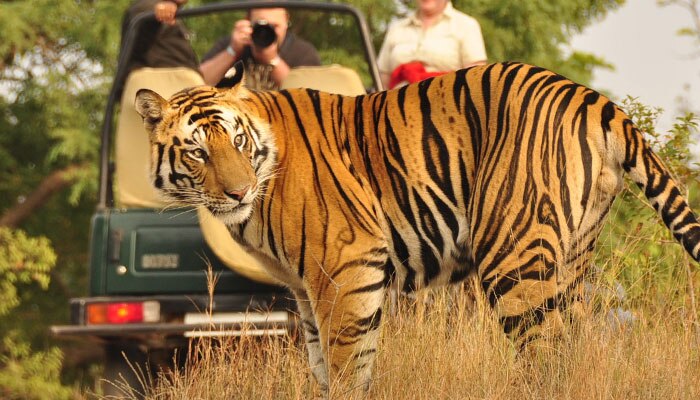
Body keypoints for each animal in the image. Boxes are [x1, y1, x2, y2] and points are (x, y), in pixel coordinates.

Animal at [135, 61, 700, 392]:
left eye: (237, 141)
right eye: (198, 152)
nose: (238, 192)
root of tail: (592, 98)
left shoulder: (346, 266)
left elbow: (347, 366)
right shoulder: (307, 290)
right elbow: (326, 365)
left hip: (513, 257)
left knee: (548, 356)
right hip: (572, 260)